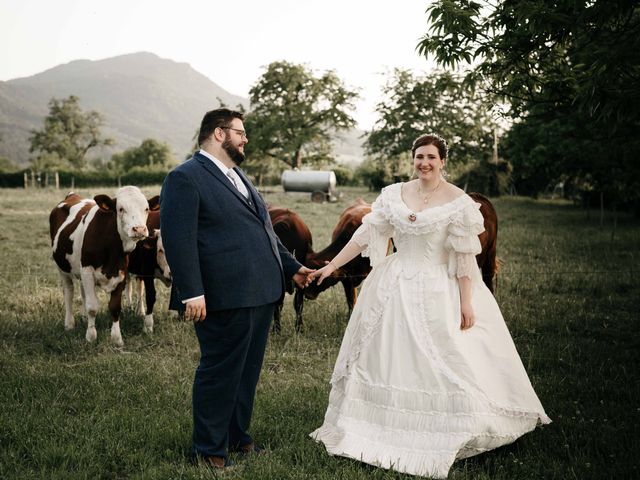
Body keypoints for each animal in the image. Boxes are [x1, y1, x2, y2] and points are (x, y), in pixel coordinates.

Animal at [50, 186, 153, 346]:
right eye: (121, 209)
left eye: (146, 209)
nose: (139, 229)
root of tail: (73, 195)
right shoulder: (87, 270)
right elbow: (92, 307)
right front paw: (91, 336)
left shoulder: (121, 273)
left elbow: (115, 307)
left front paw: (117, 339)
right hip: (63, 268)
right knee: (69, 292)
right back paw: (69, 324)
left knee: (83, 292)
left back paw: (83, 318)